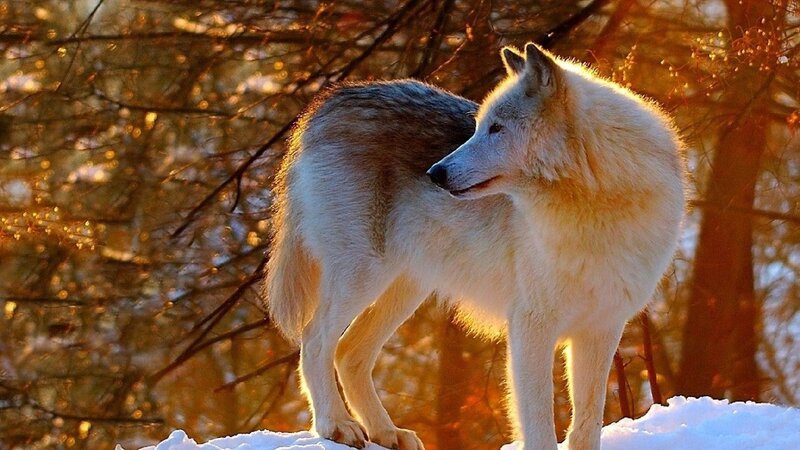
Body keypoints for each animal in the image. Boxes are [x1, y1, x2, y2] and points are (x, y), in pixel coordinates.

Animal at [264, 43, 685, 450]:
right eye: (479, 127)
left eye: (496, 128)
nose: (435, 173)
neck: (594, 205)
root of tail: (329, 101)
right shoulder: (531, 325)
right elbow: (538, 424)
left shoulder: (601, 329)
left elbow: (586, 426)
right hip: (363, 276)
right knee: (315, 341)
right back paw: (336, 426)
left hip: (406, 288)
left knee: (349, 353)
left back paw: (387, 432)